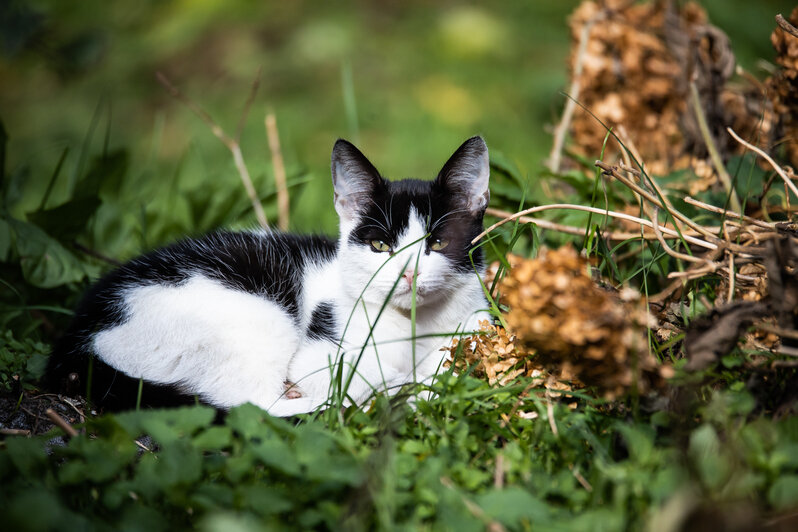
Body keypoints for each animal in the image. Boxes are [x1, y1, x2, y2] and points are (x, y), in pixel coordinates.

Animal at [47, 136, 494, 416]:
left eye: (438, 242)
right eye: (381, 246)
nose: (408, 273)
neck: (414, 326)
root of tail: (76, 341)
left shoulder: (475, 321)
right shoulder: (321, 352)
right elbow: (357, 378)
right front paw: (404, 384)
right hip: (255, 316)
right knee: (254, 406)